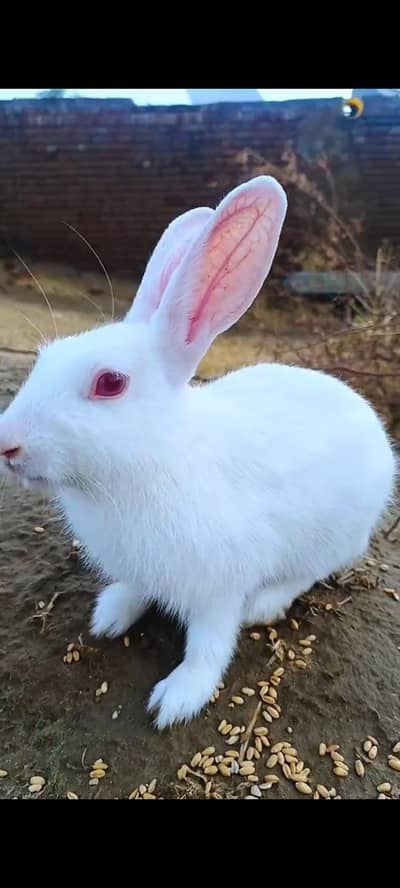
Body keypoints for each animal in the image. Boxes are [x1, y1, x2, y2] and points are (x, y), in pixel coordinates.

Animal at [0, 176, 396, 729]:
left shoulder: (220, 587)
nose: (6, 443)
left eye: (110, 383)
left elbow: (210, 644)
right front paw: (110, 615)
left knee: (314, 569)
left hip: (334, 536)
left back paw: (265, 604)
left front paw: (178, 699)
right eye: (45, 358)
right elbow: (134, 589)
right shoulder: (141, 567)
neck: (153, 461)